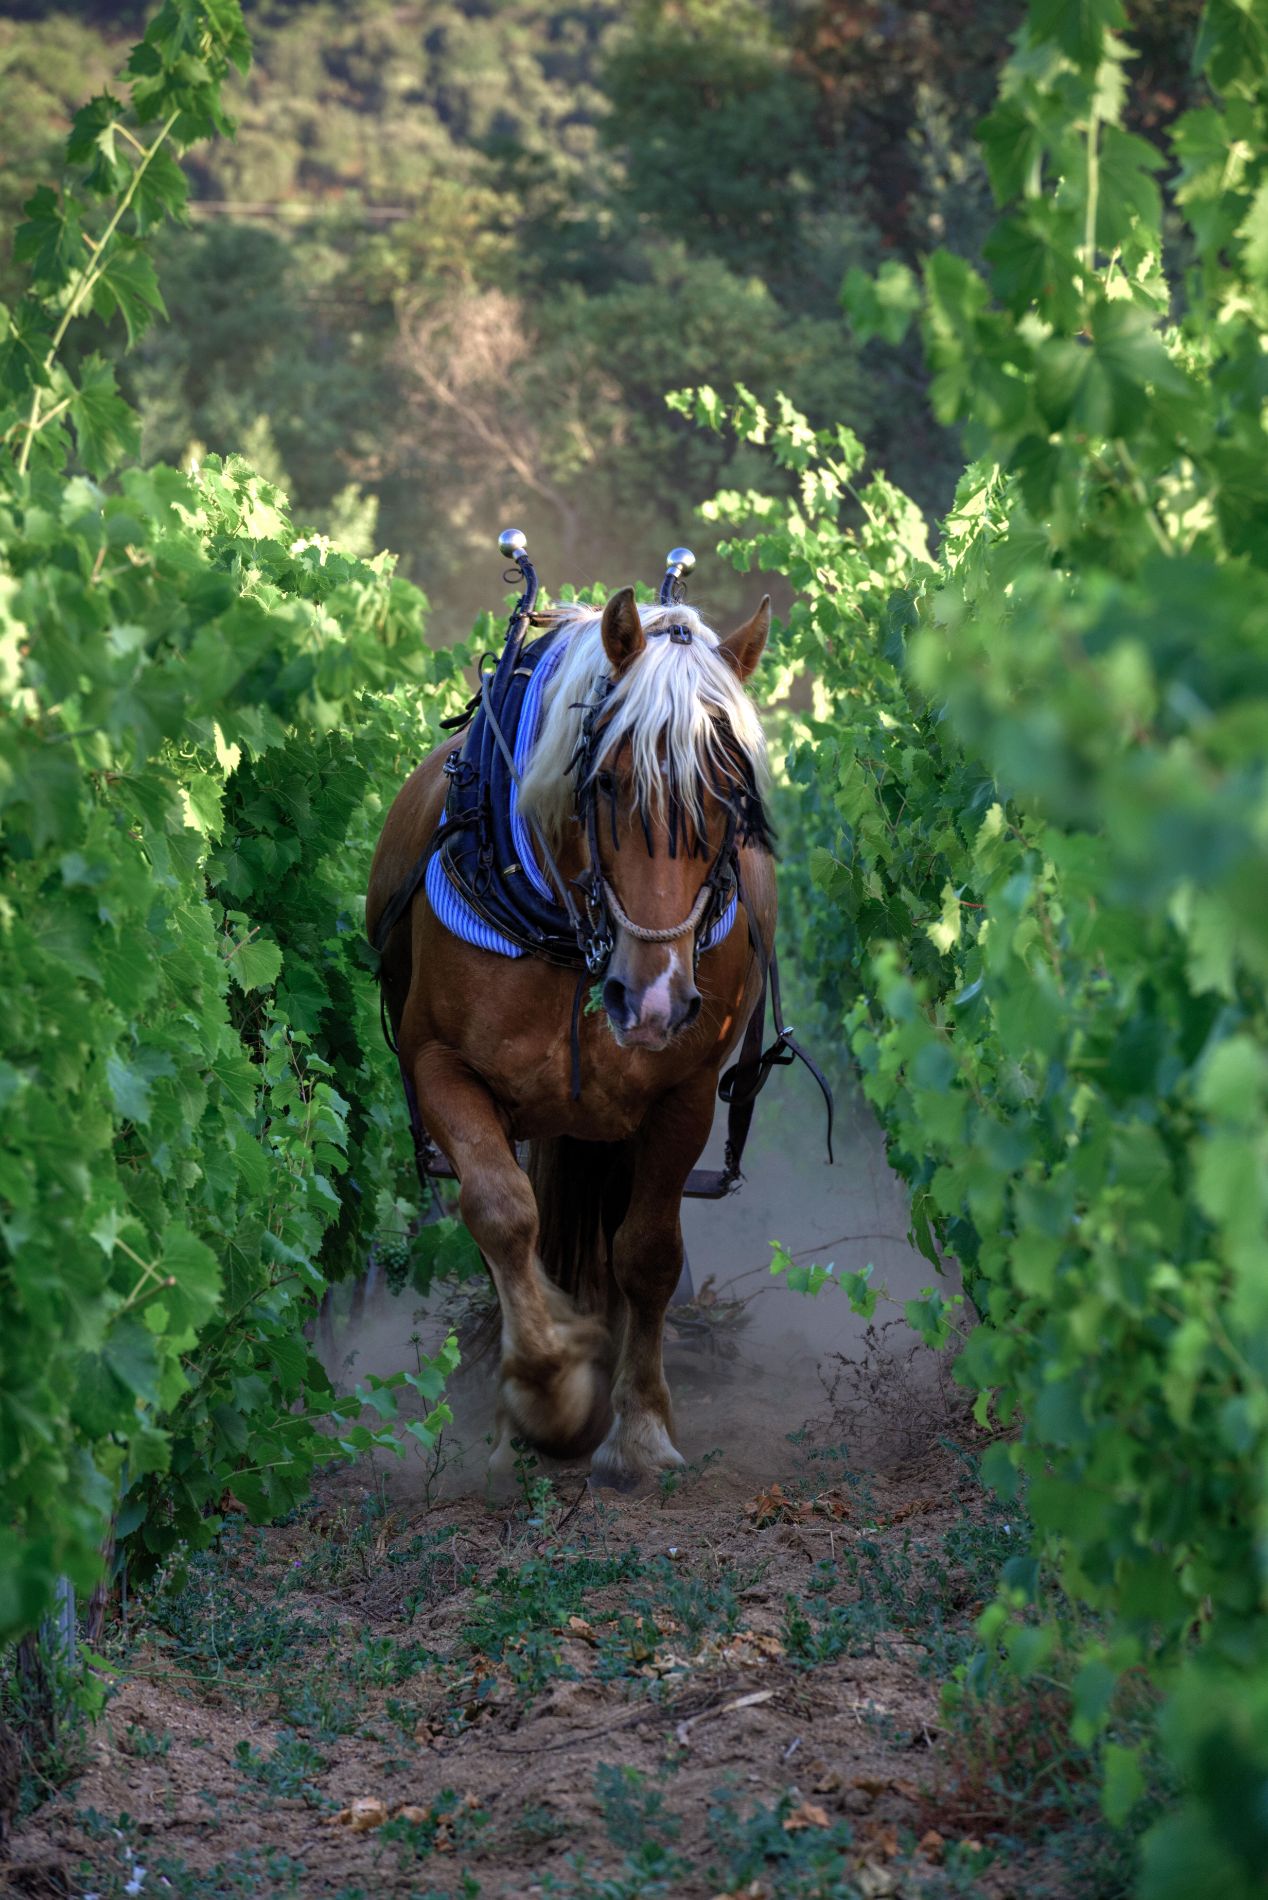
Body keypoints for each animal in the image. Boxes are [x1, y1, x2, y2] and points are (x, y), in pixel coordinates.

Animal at [366, 585, 774, 1489]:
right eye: (611, 783)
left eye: (732, 793)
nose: (652, 1000)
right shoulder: (440, 1065)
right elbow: (502, 1214)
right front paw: (549, 1395)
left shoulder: (686, 1090)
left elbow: (648, 1251)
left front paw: (641, 1428)